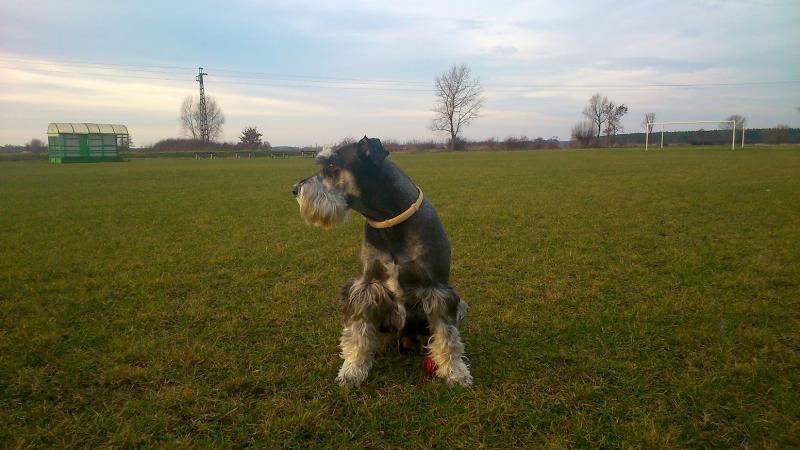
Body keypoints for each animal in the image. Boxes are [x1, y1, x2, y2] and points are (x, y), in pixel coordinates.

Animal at [292, 136, 472, 387]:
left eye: (331, 165)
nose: (294, 190)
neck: (389, 223)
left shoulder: (438, 289)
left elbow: (447, 335)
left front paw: (455, 371)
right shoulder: (365, 286)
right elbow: (358, 333)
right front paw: (353, 369)